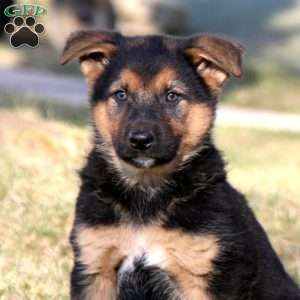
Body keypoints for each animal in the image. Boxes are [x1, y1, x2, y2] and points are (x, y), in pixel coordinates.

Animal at [60, 31, 300, 300]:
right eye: (120, 94)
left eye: (172, 96)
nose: (140, 141)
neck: (147, 191)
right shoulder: (95, 268)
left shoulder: (204, 276)